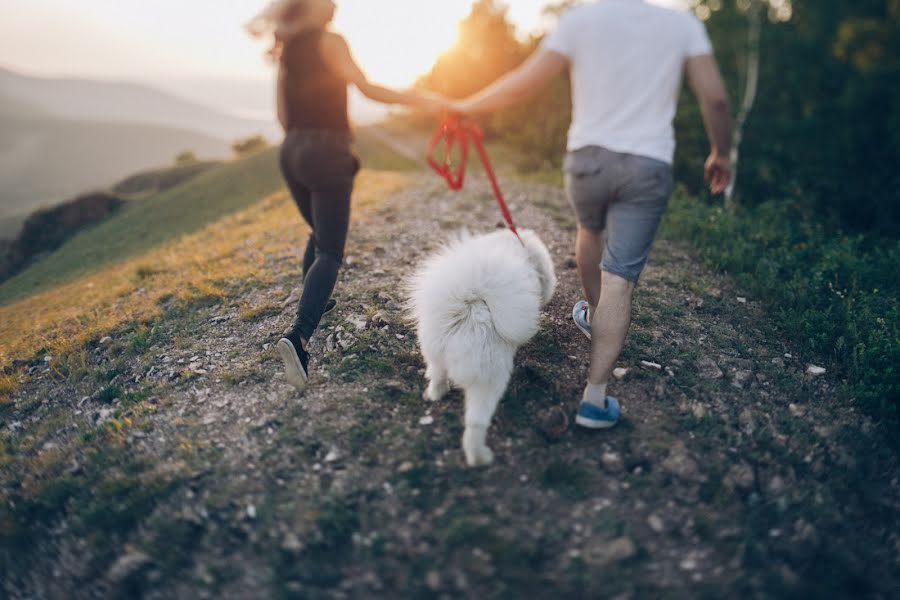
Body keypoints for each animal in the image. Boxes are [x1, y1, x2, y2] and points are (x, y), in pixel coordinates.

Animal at [408, 227, 556, 466]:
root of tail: (467, 307)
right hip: (489, 382)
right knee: (476, 424)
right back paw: (480, 457)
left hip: (434, 352)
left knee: (437, 376)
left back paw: (434, 395)